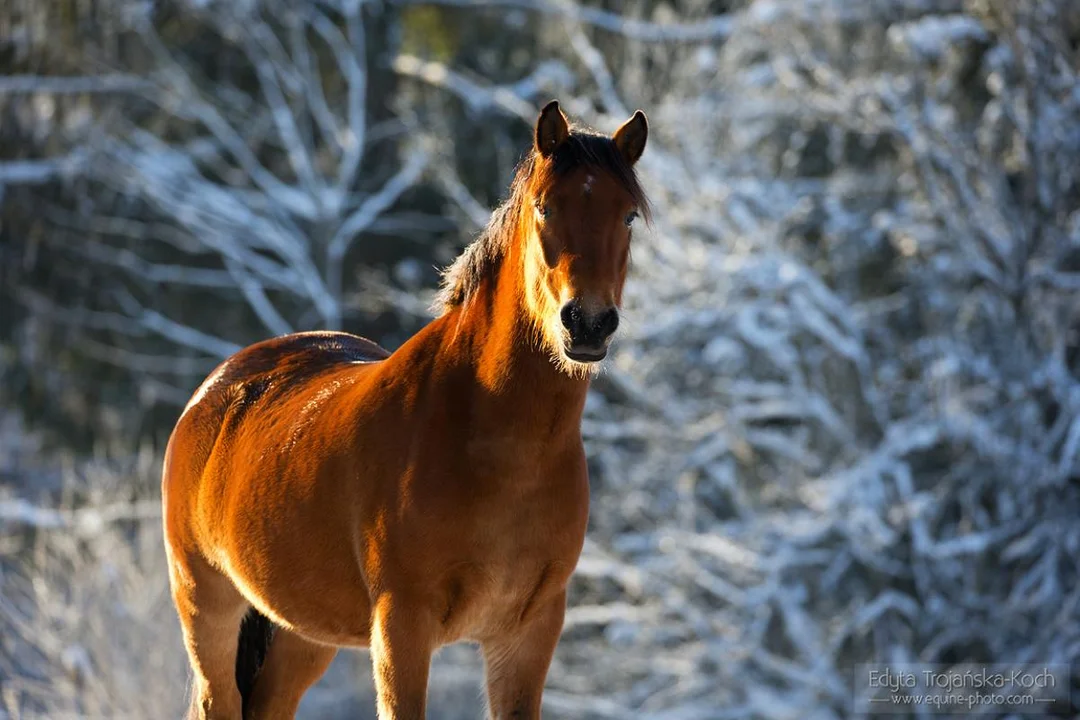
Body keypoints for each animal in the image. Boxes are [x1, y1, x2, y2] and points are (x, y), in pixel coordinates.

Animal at [159, 101, 648, 720]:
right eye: (545, 206)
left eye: (627, 215)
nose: (586, 323)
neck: (496, 442)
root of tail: (215, 391)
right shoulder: (402, 626)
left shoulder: (528, 631)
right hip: (206, 607)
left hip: (302, 633)